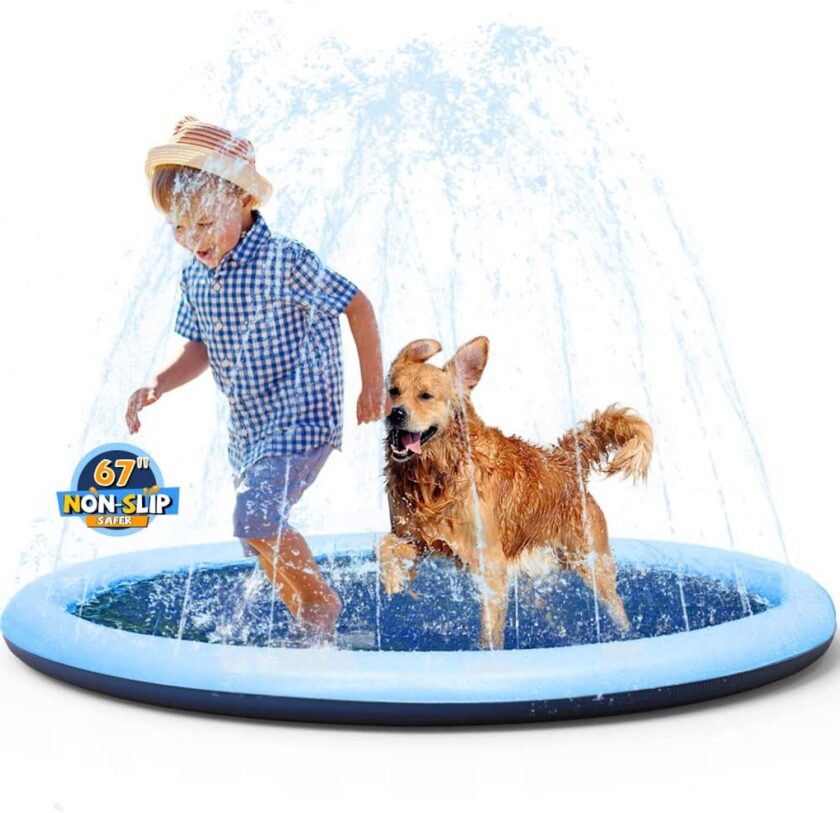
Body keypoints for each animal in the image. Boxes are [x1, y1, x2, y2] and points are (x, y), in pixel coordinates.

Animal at [378, 334, 652, 648]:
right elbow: (386, 546)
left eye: (425, 395)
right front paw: (393, 583)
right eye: (393, 392)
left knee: (616, 606)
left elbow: (490, 629)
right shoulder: (415, 539)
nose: (396, 413)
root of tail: (564, 463)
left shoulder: (490, 564)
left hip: (594, 564)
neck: (435, 476)